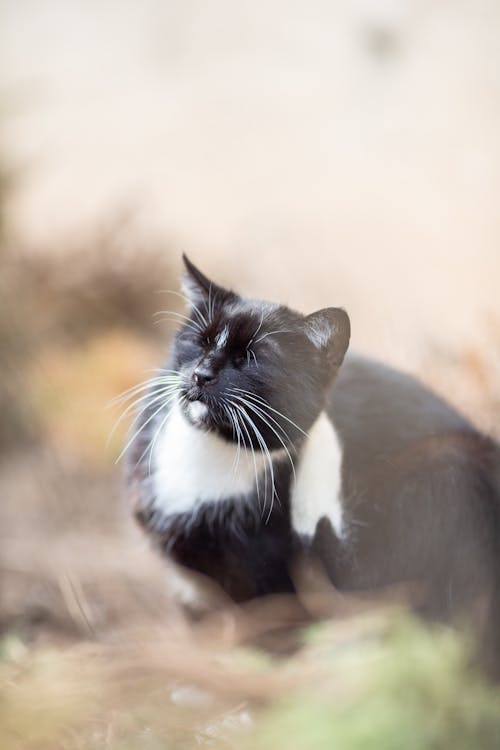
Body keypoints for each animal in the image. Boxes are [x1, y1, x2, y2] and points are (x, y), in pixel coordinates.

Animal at [124, 256, 500, 680]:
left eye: (251, 358)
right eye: (200, 341)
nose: (201, 374)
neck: (215, 456)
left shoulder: (285, 578)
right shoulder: (192, 586)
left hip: (451, 467)